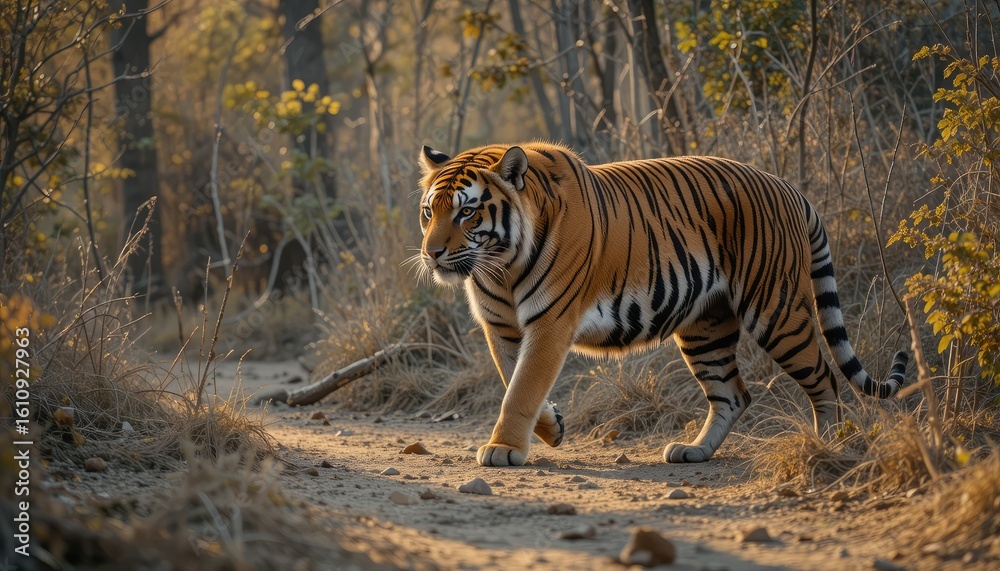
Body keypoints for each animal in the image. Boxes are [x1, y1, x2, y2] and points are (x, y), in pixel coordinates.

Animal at [416, 142, 907, 466]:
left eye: (467, 212)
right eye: (429, 211)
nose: (431, 253)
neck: (499, 267)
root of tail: (787, 187)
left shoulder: (550, 322)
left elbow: (521, 388)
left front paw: (502, 449)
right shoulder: (500, 326)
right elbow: (512, 379)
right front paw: (552, 425)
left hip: (776, 310)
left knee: (824, 379)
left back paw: (830, 445)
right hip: (705, 327)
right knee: (732, 393)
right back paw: (694, 451)